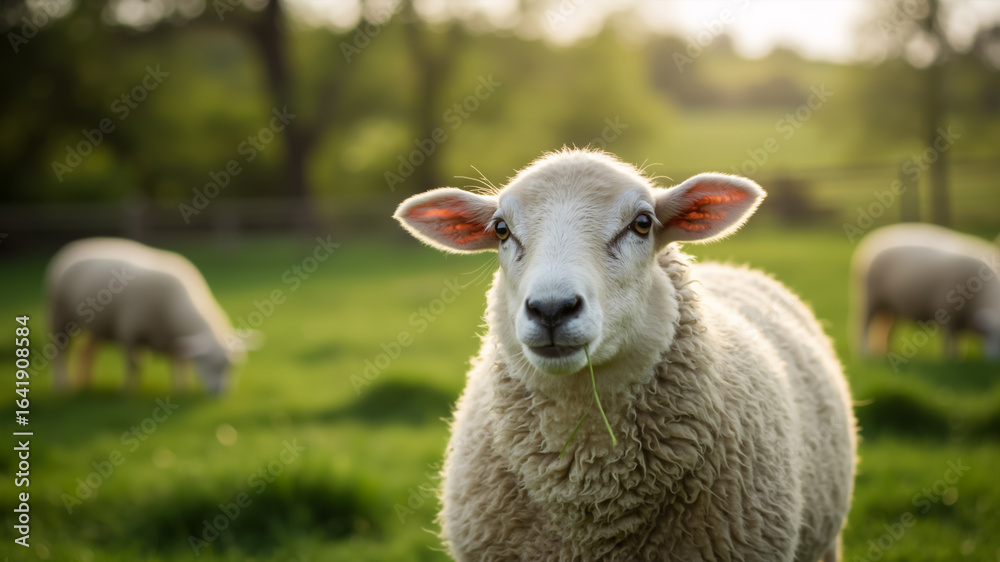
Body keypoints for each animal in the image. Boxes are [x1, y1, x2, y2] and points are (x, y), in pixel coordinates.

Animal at [45, 237, 251, 394]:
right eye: (209, 363)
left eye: (232, 367)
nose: (220, 393)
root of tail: (75, 245)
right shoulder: (129, 332)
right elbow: (134, 365)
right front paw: (127, 391)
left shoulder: (171, 337)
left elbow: (179, 363)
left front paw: (181, 389)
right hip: (59, 316)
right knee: (60, 352)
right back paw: (62, 386)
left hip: (98, 326)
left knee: (86, 352)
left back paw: (86, 383)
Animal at [852, 223, 1000, 360]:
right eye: (992, 334)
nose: (993, 361)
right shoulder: (950, 315)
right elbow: (949, 341)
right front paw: (949, 360)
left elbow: (958, 342)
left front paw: (958, 358)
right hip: (870, 297)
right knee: (863, 326)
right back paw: (864, 354)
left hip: (891, 306)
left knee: (887, 329)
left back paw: (886, 353)